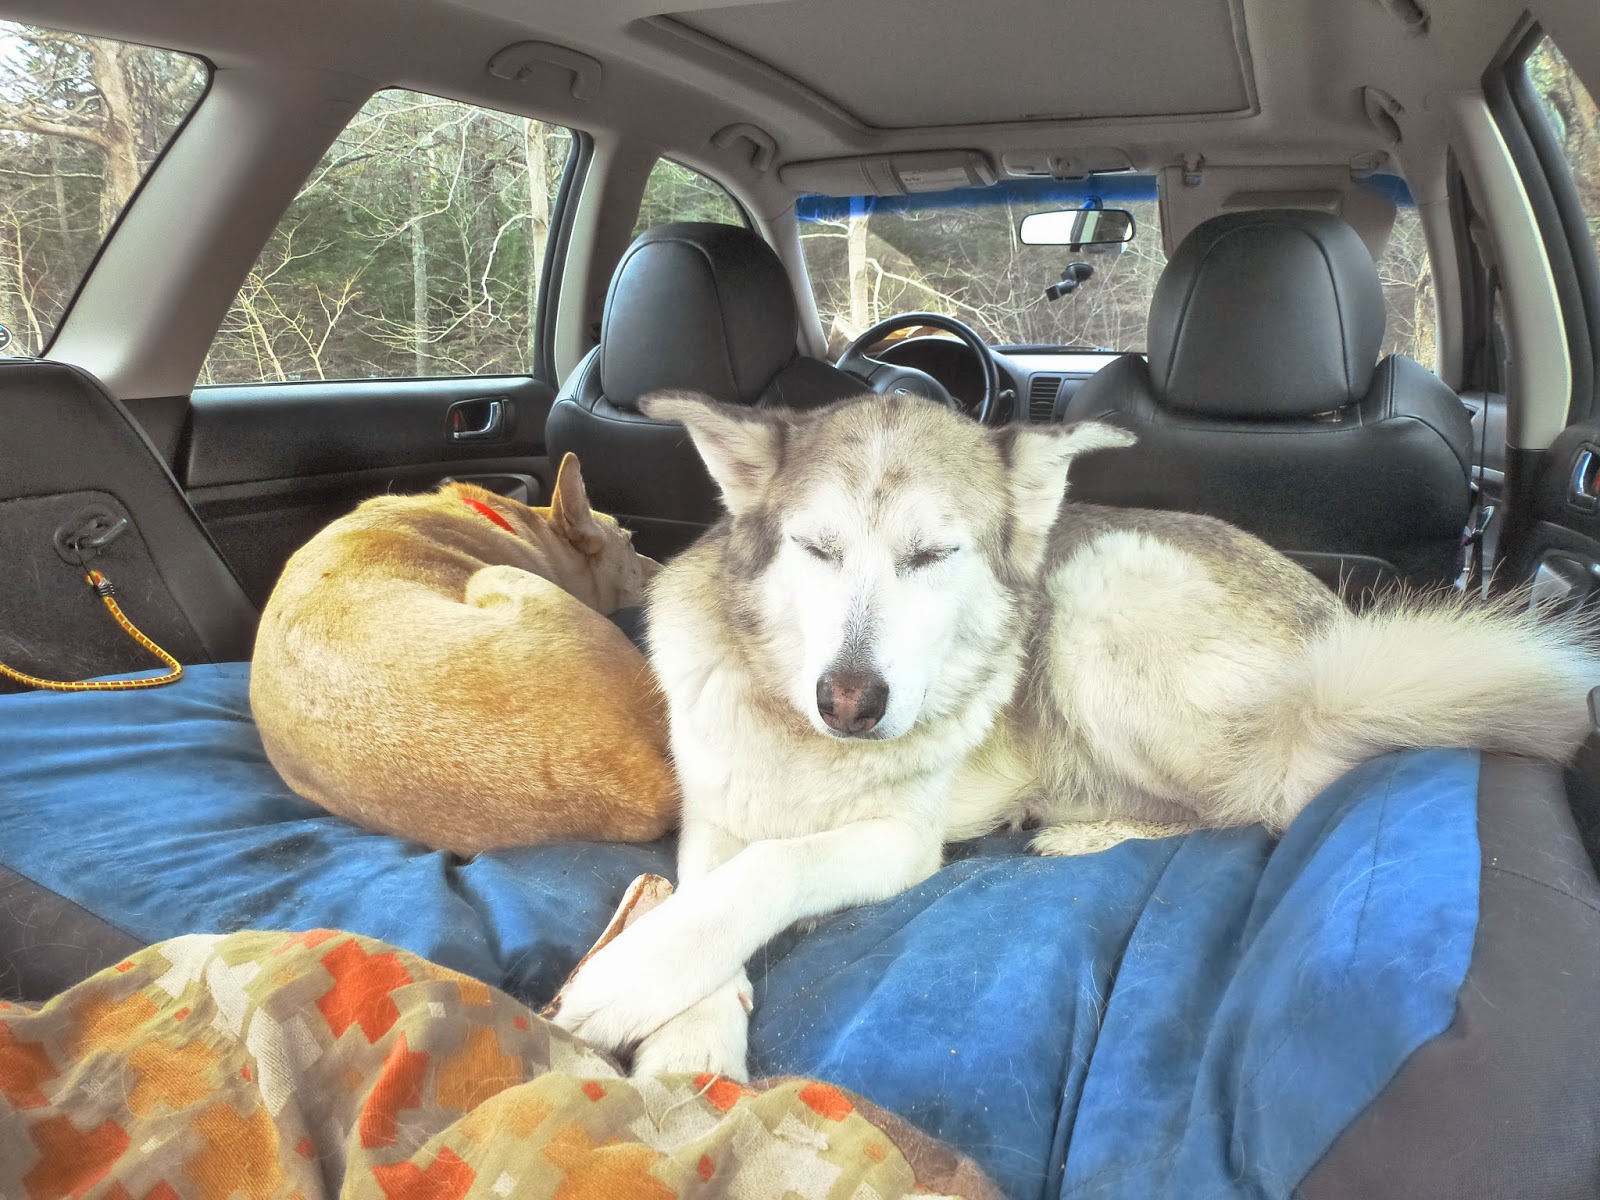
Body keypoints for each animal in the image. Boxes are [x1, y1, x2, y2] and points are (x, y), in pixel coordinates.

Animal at [548, 391, 1598, 1080]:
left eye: (933, 556)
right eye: (817, 550)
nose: (848, 701)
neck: (811, 748)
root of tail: (1333, 618)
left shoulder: (900, 844)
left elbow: (772, 869)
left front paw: (632, 976)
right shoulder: (716, 810)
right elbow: (709, 889)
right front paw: (687, 1030)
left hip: (1101, 587)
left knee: (1267, 798)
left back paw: (1081, 830)